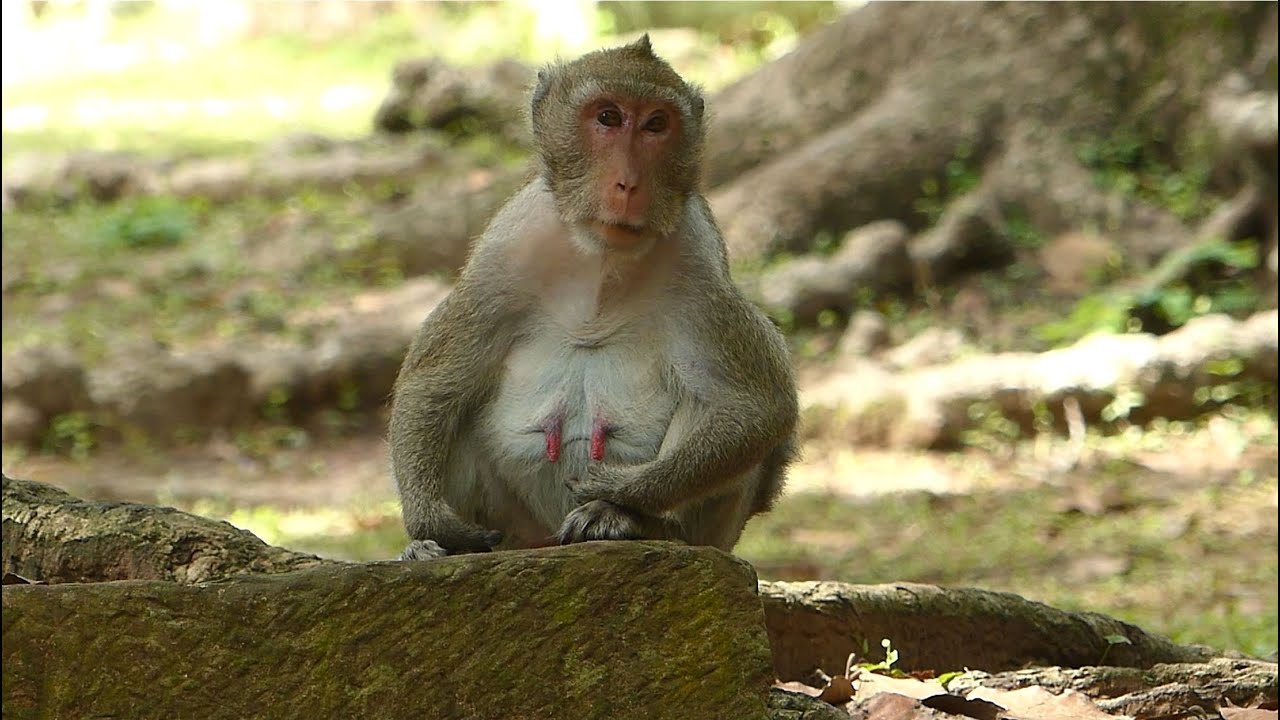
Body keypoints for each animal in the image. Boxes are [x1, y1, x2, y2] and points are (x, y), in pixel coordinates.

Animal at [389, 35, 799, 560]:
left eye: (656, 124)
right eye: (607, 117)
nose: (628, 183)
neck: (602, 255)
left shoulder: (699, 263)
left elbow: (759, 405)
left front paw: (623, 491)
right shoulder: (506, 246)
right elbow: (434, 382)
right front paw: (431, 525)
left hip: (714, 536)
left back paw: (634, 522)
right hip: (516, 526)